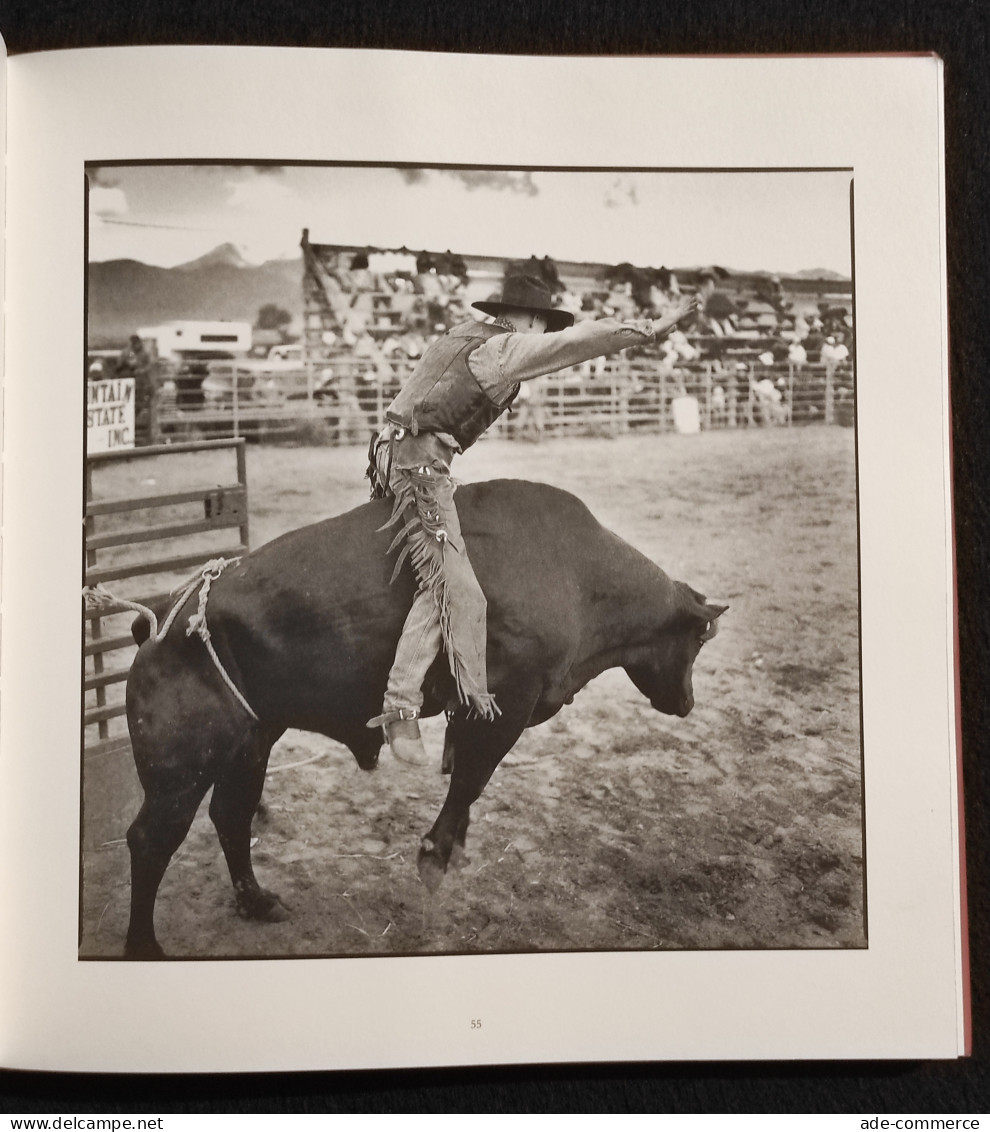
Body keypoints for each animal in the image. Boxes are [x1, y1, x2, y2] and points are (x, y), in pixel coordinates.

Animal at [123, 477, 728, 955]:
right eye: (700, 638)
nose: (688, 703)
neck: (577, 572)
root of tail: (164, 617)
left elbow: (466, 782)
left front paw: (454, 847)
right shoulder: (502, 708)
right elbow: (470, 781)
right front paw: (435, 856)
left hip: (250, 745)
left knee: (232, 816)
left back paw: (257, 902)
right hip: (182, 770)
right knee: (151, 841)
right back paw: (144, 946)